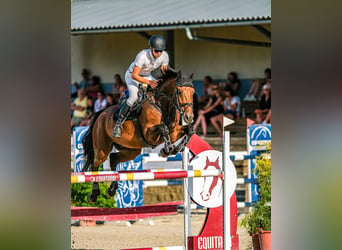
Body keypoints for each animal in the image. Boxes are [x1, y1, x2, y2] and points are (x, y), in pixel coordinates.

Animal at [81, 69, 195, 203]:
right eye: (180, 91)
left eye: (193, 92)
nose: (189, 117)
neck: (162, 104)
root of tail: (100, 114)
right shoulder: (149, 134)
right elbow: (164, 128)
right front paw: (167, 150)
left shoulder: (174, 132)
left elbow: (189, 130)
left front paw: (178, 148)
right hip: (102, 148)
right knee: (95, 165)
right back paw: (93, 194)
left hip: (131, 150)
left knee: (113, 159)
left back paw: (112, 189)